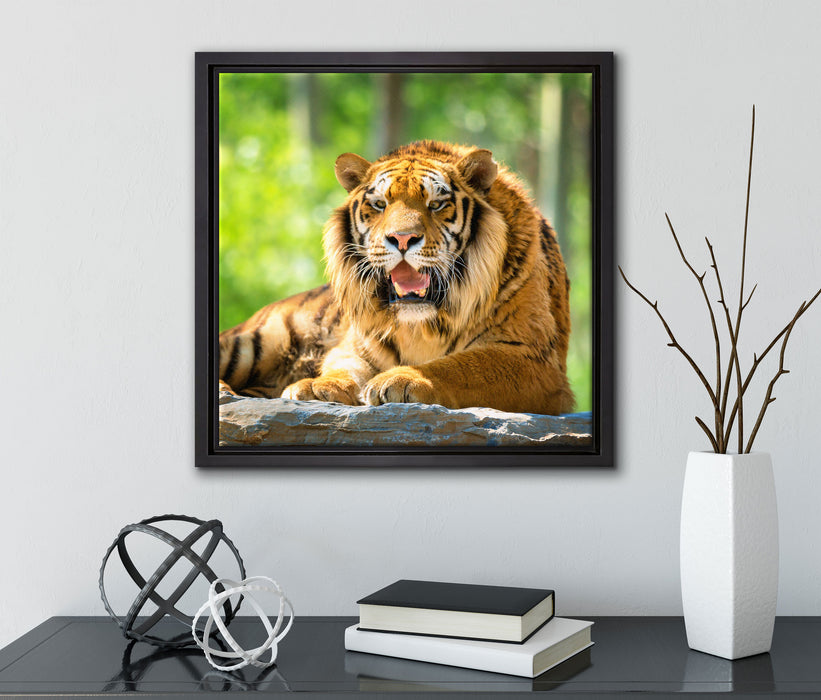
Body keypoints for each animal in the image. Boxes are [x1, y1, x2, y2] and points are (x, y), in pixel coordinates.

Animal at [219, 140, 574, 415]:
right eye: (379, 204)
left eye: (436, 204)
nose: (402, 239)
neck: (421, 326)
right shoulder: (356, 346)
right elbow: (343, 367)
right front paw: (316, 387)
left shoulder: (533, 358)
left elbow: (460, 366)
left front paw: (402, 379)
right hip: (257, 341)